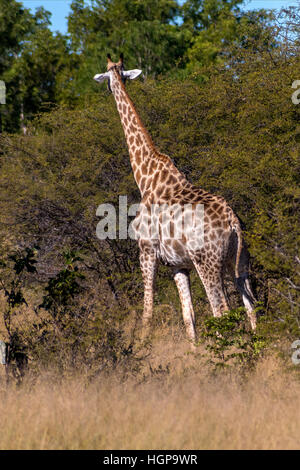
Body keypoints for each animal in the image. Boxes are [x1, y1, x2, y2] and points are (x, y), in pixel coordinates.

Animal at [93, 53, 255, 344]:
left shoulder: (146, 251)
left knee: (222, 310)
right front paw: (194, 351)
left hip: (207, 262)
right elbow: (188, 315)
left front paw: (140, 348)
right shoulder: (178, 265)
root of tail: (232, 221)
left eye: (109, 78)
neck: (145, 177)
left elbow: (147, 311)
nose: (110, 88)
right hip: (239, 260)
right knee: (250, 308)